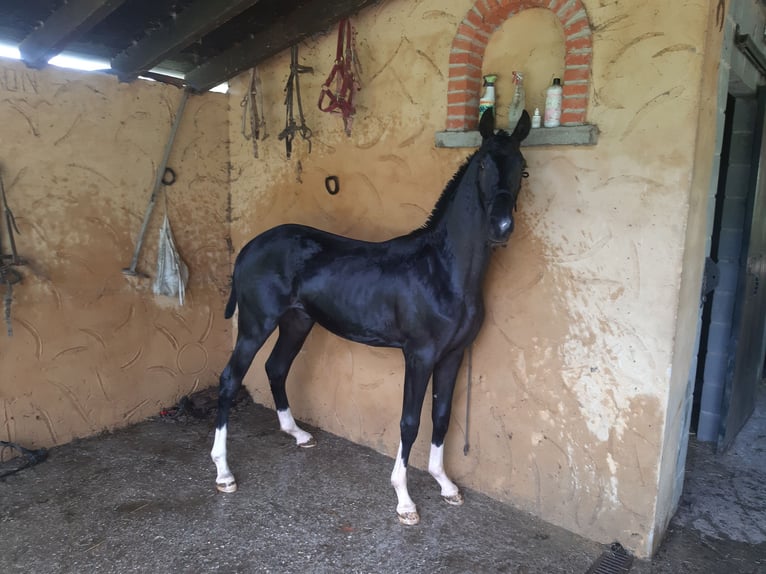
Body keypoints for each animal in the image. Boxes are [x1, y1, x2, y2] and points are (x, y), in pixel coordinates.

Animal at [211, 108, 531, 525]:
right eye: (483, 167)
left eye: (522, 168)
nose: (501, 228)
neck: (444, 270)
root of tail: (248, 247)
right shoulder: (419, 355)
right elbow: (409, 422)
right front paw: (405, 501)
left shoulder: (453, 356)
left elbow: (442, 415)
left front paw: (445, 485)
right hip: (255, 324)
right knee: (230, 379)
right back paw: (224, 473)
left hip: (297, 322)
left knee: (276, 368)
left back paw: (297, 434)